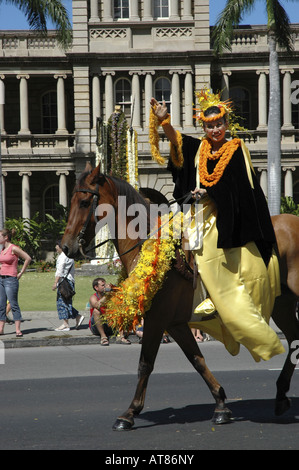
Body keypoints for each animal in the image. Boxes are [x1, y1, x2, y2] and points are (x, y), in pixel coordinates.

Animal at [61, 163, 299, 432]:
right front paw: (221, 404)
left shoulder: (157, 320)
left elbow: (145, 363)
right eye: (71, 201)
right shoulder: (174, 323)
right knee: (294, 339)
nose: (66, 247)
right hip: (282, 304)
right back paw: (280, 395)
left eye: (83, 202)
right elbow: (197, 359)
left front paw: (130, 413)